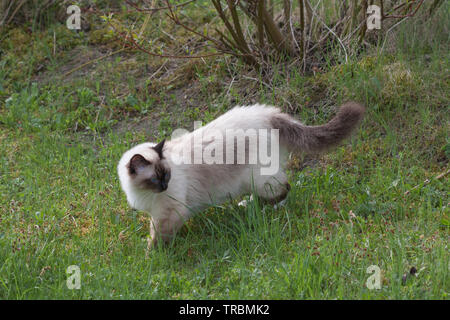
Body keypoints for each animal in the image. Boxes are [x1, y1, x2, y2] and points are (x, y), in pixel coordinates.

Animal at [118, 101, 364, 249]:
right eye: (154, 179)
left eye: (166, 176)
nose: (164, 187)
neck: (142, 194)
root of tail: (268, 114)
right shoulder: (158, 213)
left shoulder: (168, 213)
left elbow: (157, 238)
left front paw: (152, 257)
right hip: (251, 181)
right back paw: (248, 205)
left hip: (257, 178)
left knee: (284, 188)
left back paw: (269, 209)